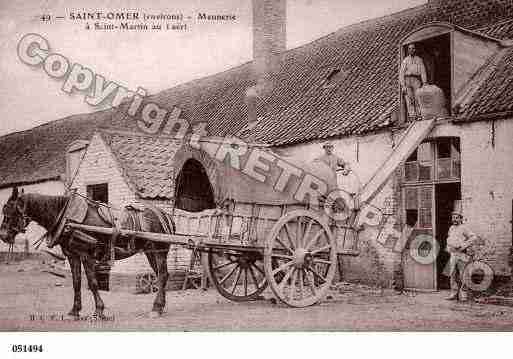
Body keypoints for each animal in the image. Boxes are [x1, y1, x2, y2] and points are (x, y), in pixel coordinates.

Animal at [0, 187, 174, 320]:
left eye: (11, 210)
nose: (3, 235)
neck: (67, 217)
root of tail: (164, 214)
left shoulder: (86, 254)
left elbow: (92, 282)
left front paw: (99, 311)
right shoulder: (73, 256)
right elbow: (76, 283)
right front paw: (74, 311)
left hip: (159, 251)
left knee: (162, 275)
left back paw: (156, 308)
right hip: (151, 251)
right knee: (162, 275)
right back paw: (160, 307)